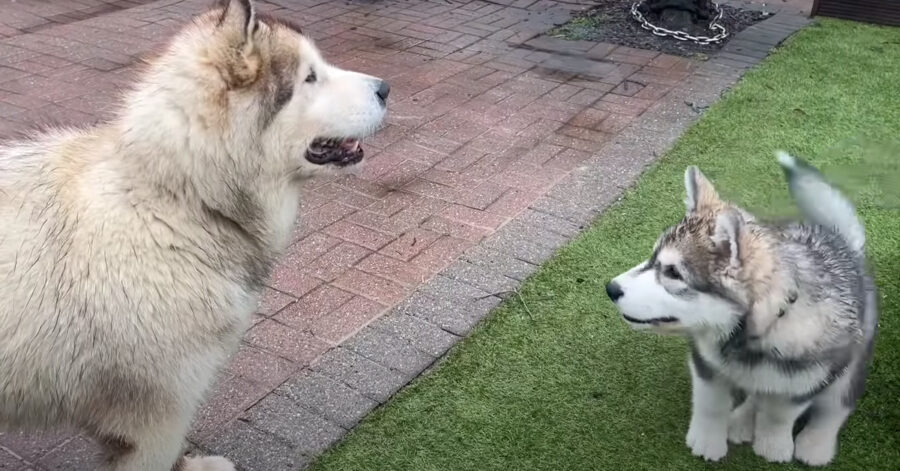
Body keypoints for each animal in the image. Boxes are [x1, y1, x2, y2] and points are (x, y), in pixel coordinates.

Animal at [608, 155, 876, 468]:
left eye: (673, 273)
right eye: (652, 259)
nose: (610, 288)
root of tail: (842, 241)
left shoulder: (810, 378)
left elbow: (779, 413)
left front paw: (773, 444)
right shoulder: (706, 361)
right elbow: (711, 402)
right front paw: (707, 440)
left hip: (851, 364)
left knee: (836, 406)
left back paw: (816, 443)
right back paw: (742, 420)